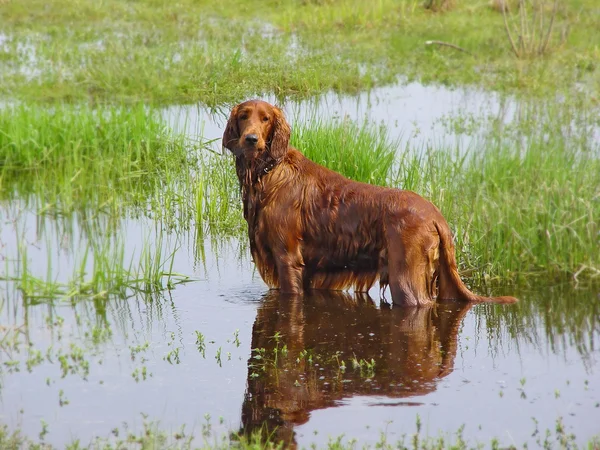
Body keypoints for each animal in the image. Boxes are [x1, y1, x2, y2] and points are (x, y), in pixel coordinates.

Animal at [223, 99, 516, 306]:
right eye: (243, 116)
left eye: (266, 118)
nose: (251, 140)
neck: (267, 172)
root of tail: (436, 216)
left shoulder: (287, 260)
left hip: (406, 281)